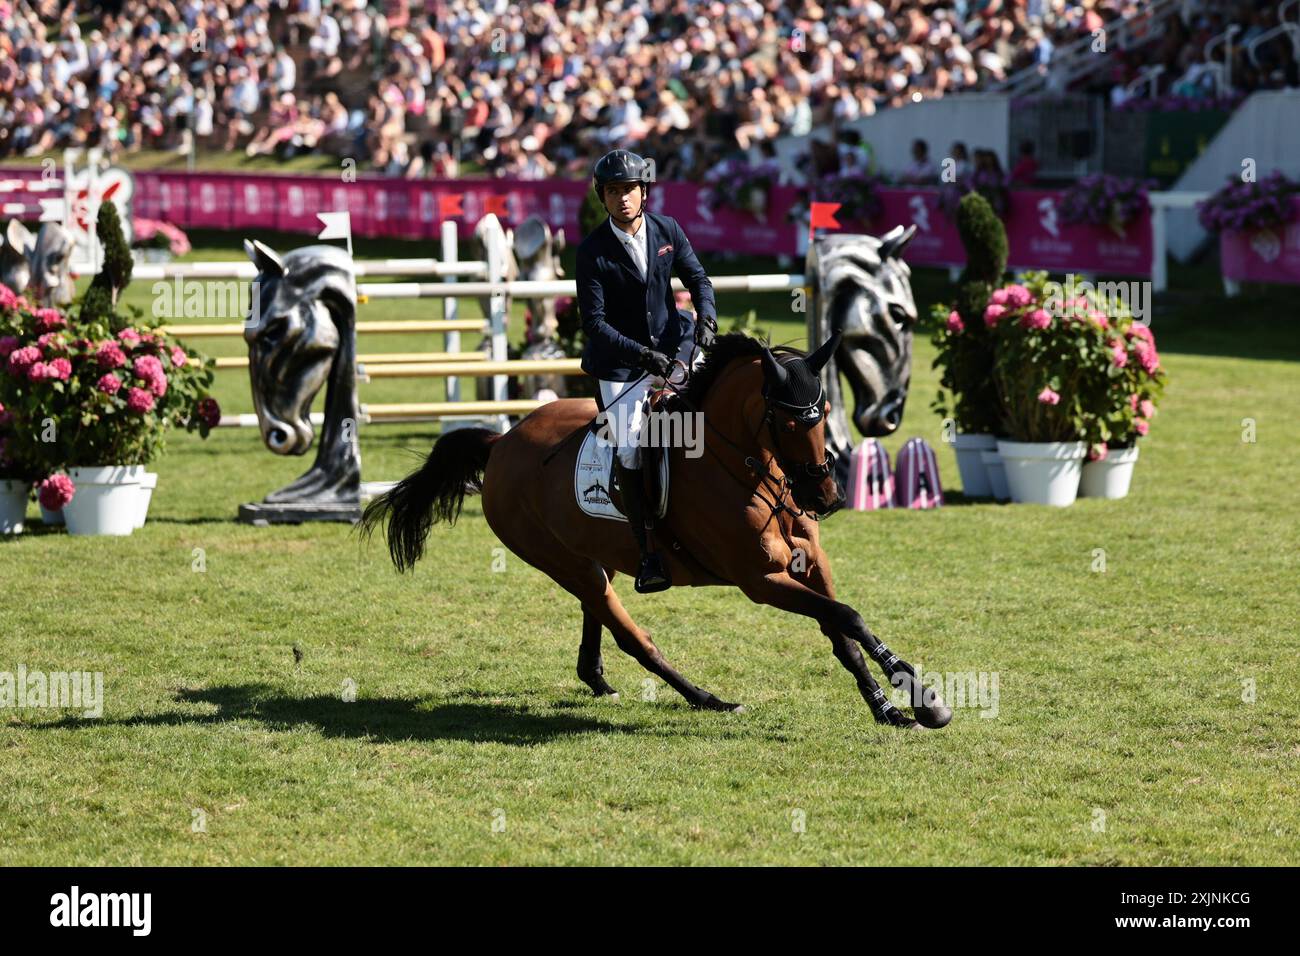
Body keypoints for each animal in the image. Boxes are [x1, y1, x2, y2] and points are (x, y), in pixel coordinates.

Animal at [361, 332, 951, 728]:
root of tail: (500, 443)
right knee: (630, 635)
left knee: (596, 611)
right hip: (558, 561)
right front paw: (924, 698)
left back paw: (597, 679)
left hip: (589, 556)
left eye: (824, 410)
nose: (827, 498)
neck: (744, 466)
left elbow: (843, 630)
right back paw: (708, 699)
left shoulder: (811, 563)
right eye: (786, 422)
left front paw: (890, 706)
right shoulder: (760, 581)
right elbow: (847, 617)